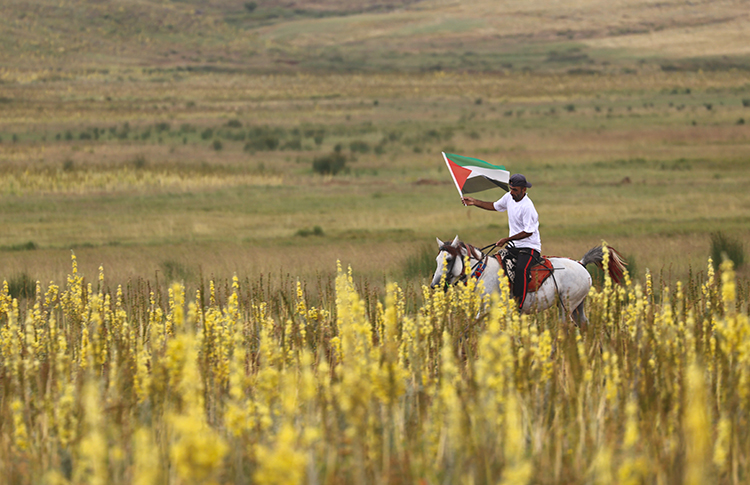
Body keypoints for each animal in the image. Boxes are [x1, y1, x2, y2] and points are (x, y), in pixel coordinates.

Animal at [432, 235, 624, 326]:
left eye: (448, 259)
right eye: (437, 260)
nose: (434, 286)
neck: (484, 272)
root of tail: (581, 264)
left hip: (567, 305)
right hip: (578, 305)